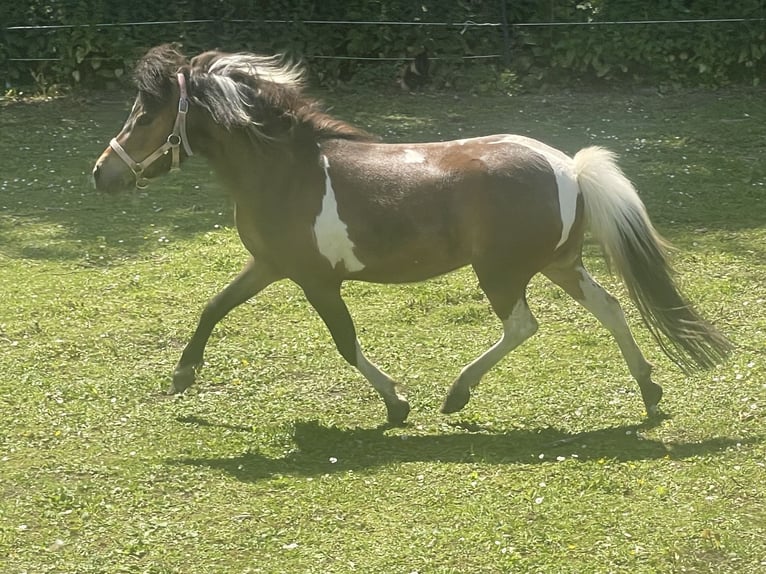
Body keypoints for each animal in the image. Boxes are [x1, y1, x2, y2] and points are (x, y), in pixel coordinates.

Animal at [92, 44, 732, 425]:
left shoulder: (315, 281)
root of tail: (570, 168)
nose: (102, 174)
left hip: (501, 272)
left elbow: (345, 342)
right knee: (611, 308)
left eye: (145, 114)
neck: (287, 170)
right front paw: (182, 376)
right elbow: (214, 307)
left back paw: (456, 394)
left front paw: (397, 403)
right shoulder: (271, 266)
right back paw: (649, 392)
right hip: (560, 263)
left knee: (523, 325)